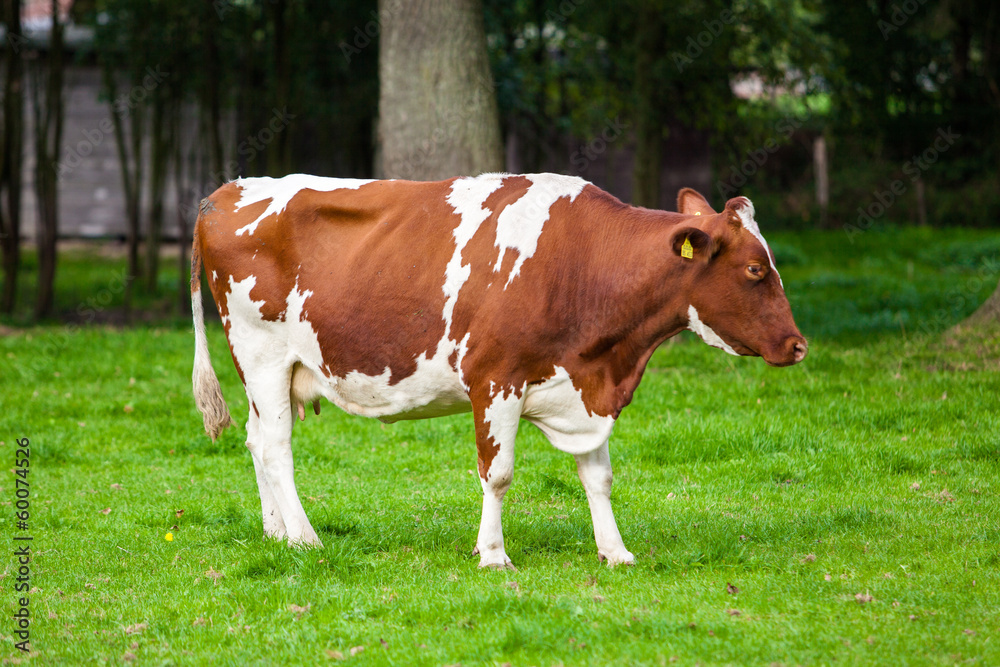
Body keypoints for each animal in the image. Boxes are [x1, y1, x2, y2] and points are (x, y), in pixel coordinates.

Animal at [191, 171, 808, 568]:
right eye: (755, 269)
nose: (798, 345)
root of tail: (225, 192)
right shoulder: (495, 380)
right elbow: (499, 473)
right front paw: (492, 555)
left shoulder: (583, 387)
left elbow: (599, 477)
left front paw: (615, 552)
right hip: (261, 353)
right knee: (277, 446)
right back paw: (305, 539)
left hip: (270, 371)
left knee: (256, 440)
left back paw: (276, 534)